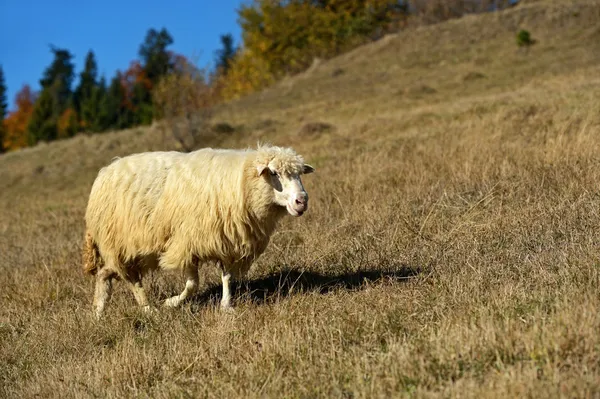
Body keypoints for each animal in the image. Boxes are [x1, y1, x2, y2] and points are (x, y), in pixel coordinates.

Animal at [83, 144, 314, 318]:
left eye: (299, 174)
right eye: (274, 173)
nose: (302, 201)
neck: (242, 182)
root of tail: (105, 171)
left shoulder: (226, 241)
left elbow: (227, 277)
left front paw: (226, 306)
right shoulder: (187, 243)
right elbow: (193, 284)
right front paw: (171, 303)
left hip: (132, 249)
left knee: (106, 273)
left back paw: (98, 311)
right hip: (120, 243)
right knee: (131, 280)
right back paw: (149, 309)